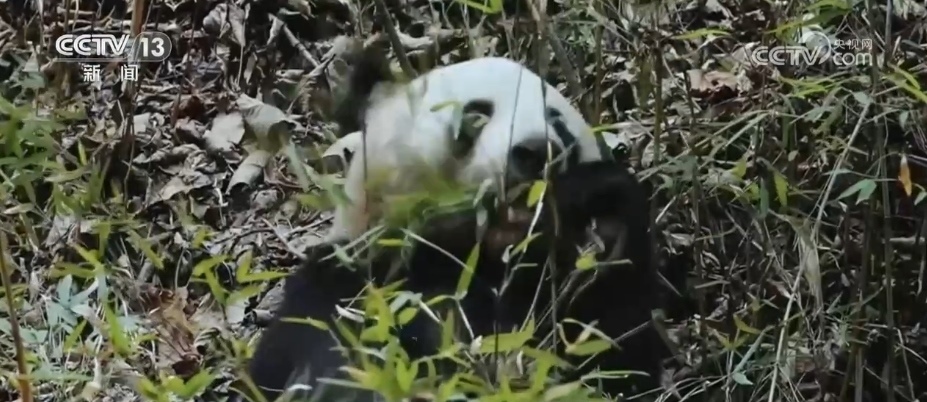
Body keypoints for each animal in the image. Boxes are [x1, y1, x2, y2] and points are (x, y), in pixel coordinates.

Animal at [234, 48, 665, 402]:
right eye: (476, 114)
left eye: (558, 124)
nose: (538, 151)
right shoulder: (344, 286)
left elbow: (618, 364)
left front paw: (605, 212)